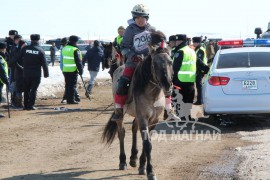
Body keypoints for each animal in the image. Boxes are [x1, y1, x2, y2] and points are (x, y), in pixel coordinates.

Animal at [102, 33, 174, 179]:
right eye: (155, 63)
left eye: (170, 62)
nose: (167, 84)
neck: (153, 94)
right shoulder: (143, 117)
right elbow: (147, 144)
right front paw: (150, 171)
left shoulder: (153, 119)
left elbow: (147, 141)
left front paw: (142, 165)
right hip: (121, 113)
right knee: (121, 132)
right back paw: (123, 161)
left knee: (134, 128)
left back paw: (133, 158)